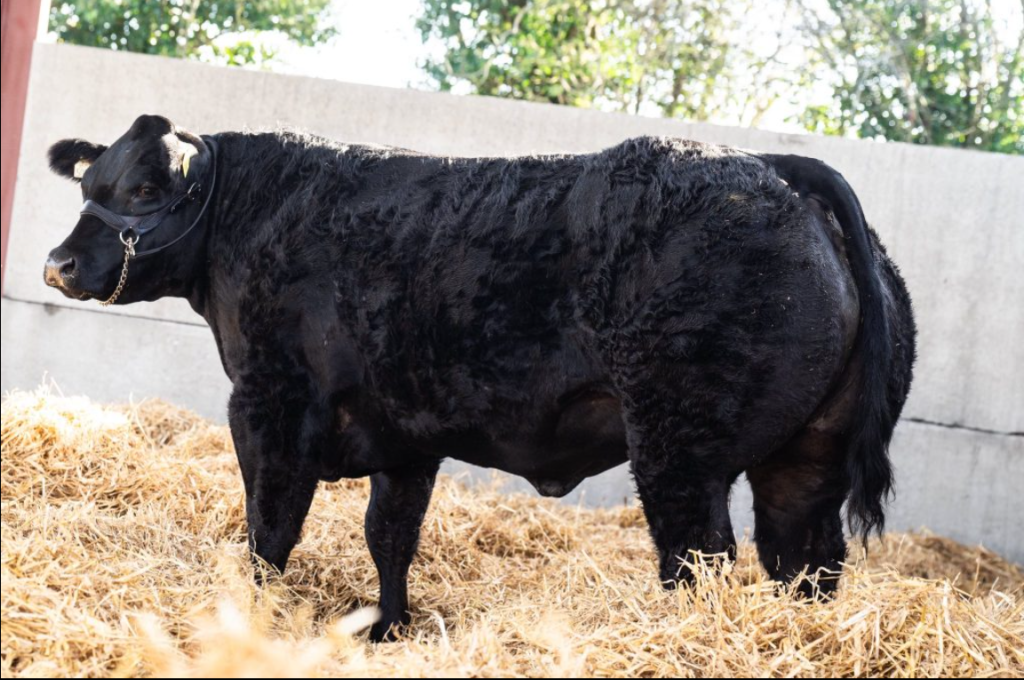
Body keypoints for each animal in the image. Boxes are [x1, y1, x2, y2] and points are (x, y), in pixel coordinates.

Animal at [44, 115, 916, 643]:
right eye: (88, 185)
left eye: (145, 188)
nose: (58, 264)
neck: (254, 214)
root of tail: (775, 170)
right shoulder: (403, 433)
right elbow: (389, 537)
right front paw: (389, 629)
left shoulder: (267, 406)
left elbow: (269, 532)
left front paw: (252, 620)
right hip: (803, 460)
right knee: (805, 562)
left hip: (681, 448)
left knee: (699, 560)